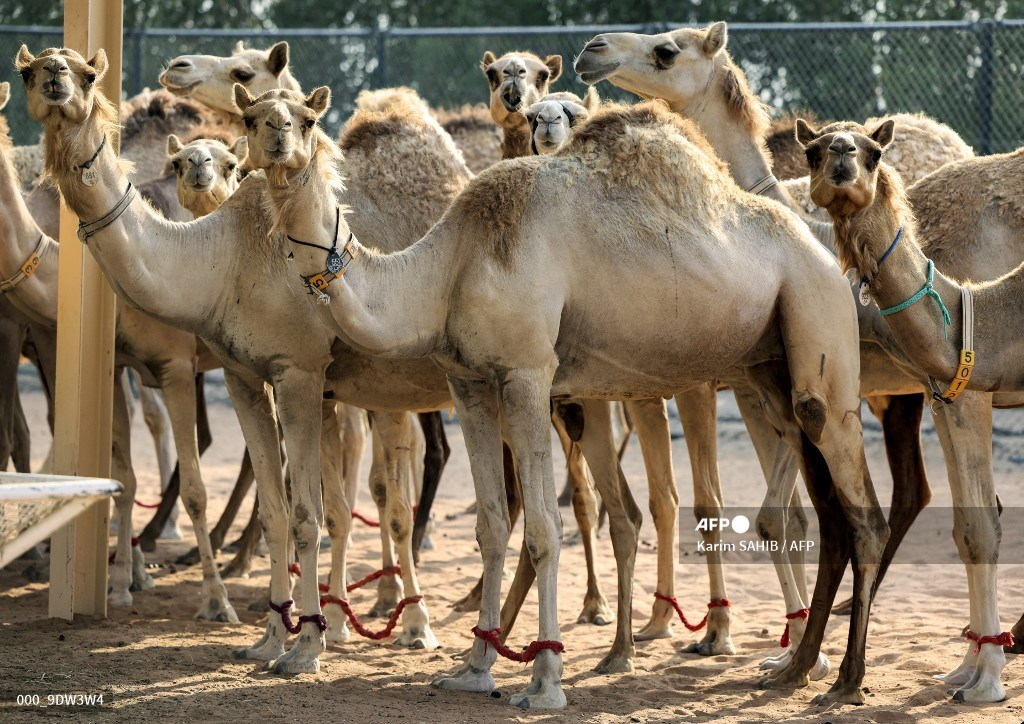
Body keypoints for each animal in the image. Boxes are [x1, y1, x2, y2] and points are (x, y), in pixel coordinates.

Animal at [237, 73, 888, 708]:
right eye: (252, 116)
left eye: (307, 118)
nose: (277, 140)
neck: (450, 266)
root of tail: (829, 256)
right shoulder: (469, 381)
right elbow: (491, 525)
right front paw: (473, 668)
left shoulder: (528, 373)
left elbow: (545, 529)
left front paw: (546, 679)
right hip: (765, 363)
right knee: (824, 505)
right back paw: (796, 667)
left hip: (816, 317)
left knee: (859, 507)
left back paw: (845, 680)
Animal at [798, 118, 1024, 700]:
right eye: (812, 151)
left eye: (875, 152)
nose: (842, 155)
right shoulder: (949, 391)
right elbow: (971, 529)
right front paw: (968, 672)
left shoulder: (971, 397)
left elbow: (984, 528)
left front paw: (987, 683)